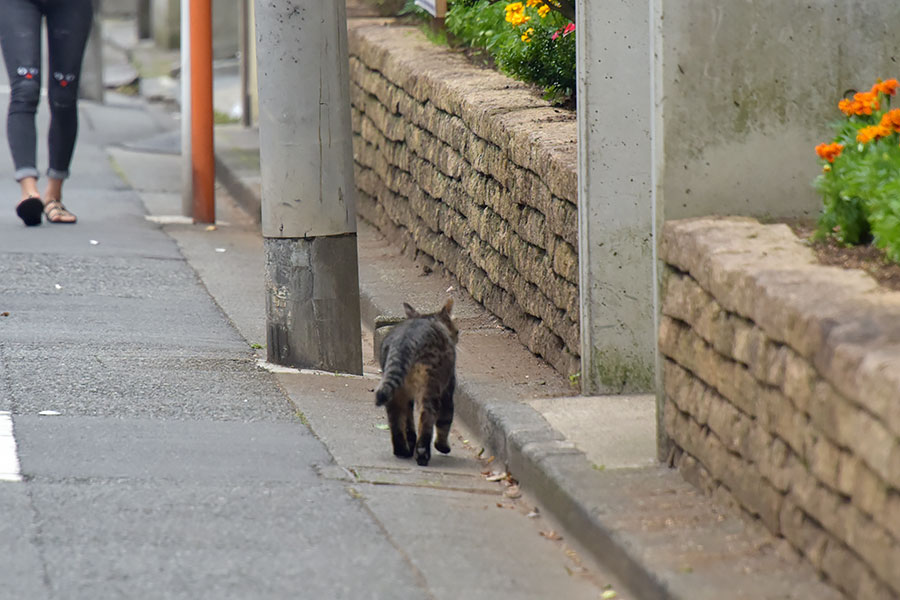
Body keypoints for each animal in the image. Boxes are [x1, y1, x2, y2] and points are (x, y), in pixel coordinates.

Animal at [372, 298, 458, 466]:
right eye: (457, 331)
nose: (457, 337)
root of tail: (405, 340)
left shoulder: (408, 398)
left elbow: (408, 422)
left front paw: (410, 441)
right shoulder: (448, 390)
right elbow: (445, 420)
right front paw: (442, 446)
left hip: (394, 391)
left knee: (395, 420)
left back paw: (402, 451)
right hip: (430, 389)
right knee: (426, 419)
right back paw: (422, 454)